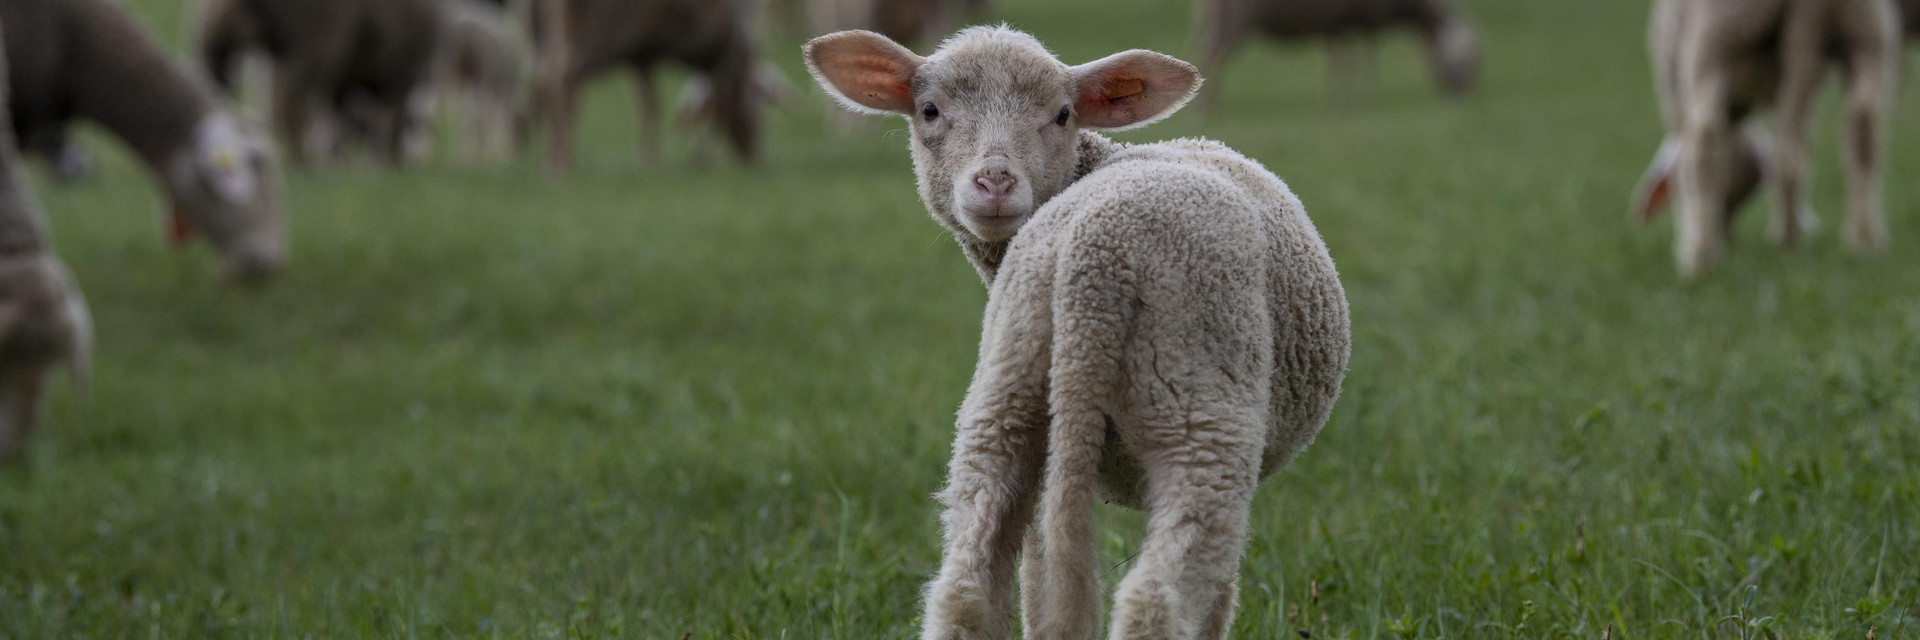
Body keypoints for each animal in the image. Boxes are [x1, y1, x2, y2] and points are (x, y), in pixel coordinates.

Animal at [529, 0, 764, 173]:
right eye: (752, 114)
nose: (753, 154)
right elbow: (710, 110)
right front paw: (703, 160)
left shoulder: (640, 57)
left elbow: (646, 106)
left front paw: (647, 161)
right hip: (593, 28)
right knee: (562, 76)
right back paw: (563, 164)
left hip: (545, 27)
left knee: (543, 75)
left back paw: (547, 160)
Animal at [805, 26, 1350, 640]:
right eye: (929, 110)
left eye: (1063, 114)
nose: (994, 182)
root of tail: (1091, 261)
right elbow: (1220, 597)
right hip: (1198, 403)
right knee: (1156, 598)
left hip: (1005, 400)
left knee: (965, 589)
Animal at [1193, 0, 1479, 110]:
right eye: (1464, 59)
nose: (1462, 95)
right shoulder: (1366, 19)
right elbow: (1366, 59)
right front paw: (1369, 98)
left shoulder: (1339, 23)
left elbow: (1340, 59)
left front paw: (1336, 99)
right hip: (1236, 16)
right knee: (1214, 57)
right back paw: (1207, 108)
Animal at [1631, 0, 1898, 278]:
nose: (1727, 233)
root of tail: (1810, 6)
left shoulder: (1673, 92)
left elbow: (1683, 172)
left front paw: (1689, 239)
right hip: (1864, 33)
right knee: (1861, 127)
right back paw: (1858, 241)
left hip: (1714, 37)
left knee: (1704, 138)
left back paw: (1701, 257)